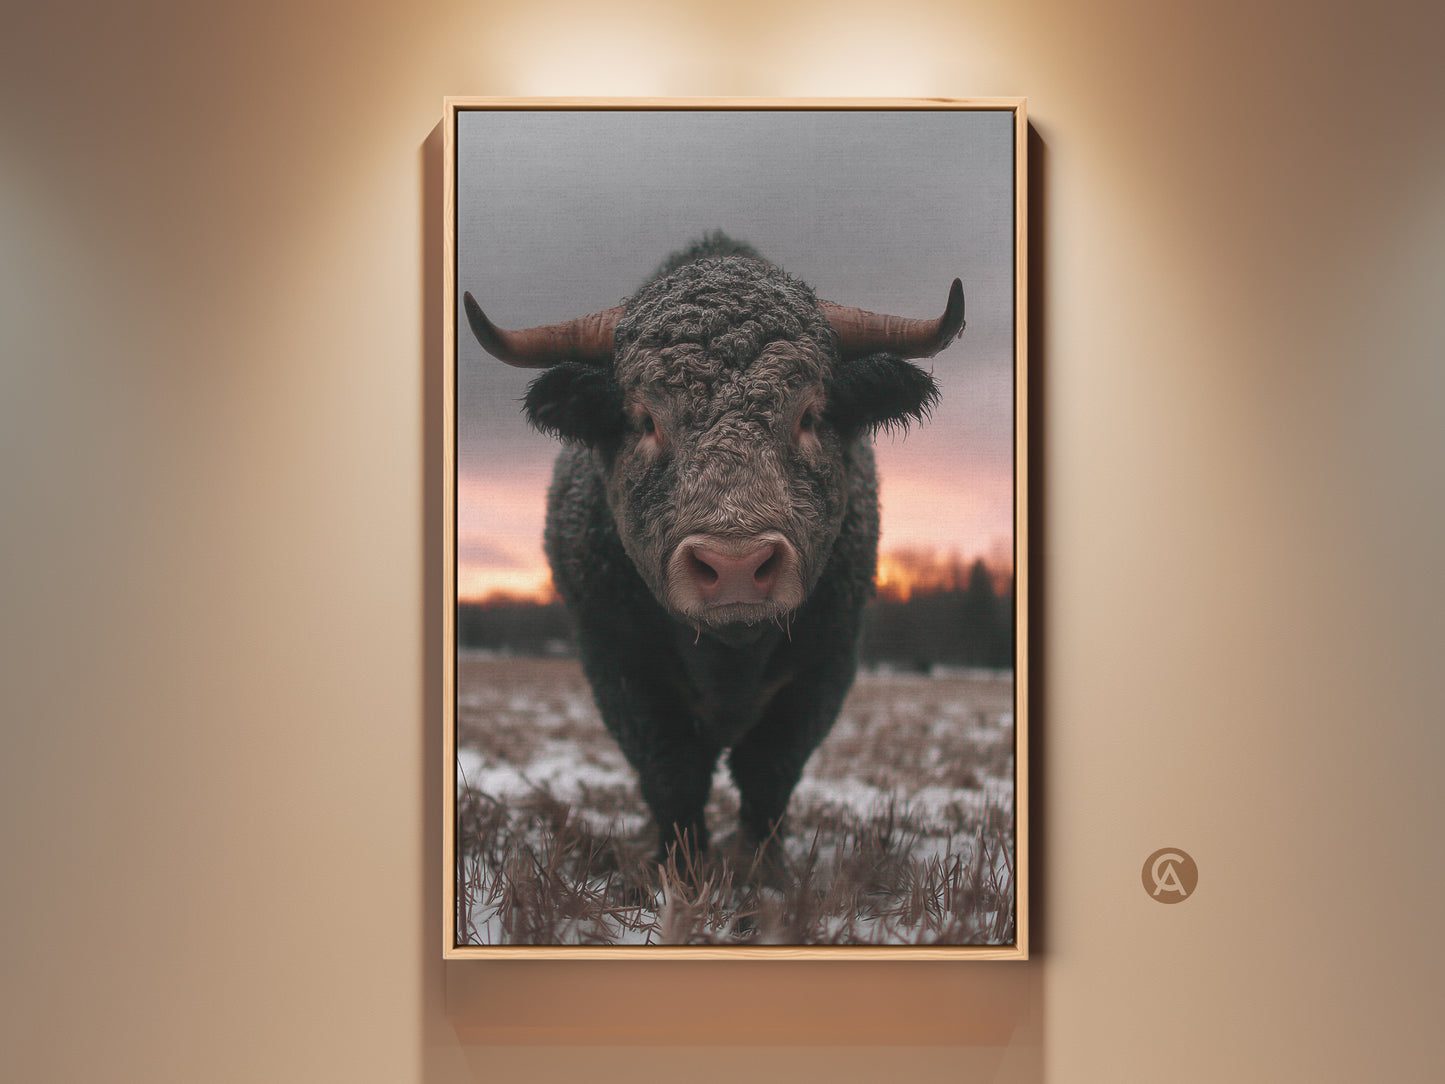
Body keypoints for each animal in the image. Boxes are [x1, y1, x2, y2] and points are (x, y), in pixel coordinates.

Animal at [465, 233, 963, 867]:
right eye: (645, 419)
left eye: (809, 414)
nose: (735, 566)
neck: (729, 660)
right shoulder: (618, 664)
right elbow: (673, 773)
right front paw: (680, 865)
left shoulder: (825, 665)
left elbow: (769, 773)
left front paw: (762, 868)